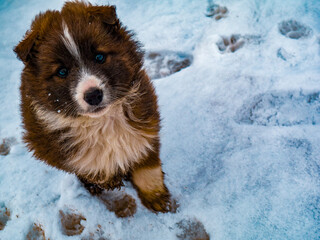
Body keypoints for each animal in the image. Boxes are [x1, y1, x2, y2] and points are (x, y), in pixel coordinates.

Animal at [14, 0, 172, 214]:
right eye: (62, 72)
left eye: (99, 57)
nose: (93, 95)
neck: (102, 121)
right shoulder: (50, 147)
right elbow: (89, 165)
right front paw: (107, 180)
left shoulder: (145, 125)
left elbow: (146, 166)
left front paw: (155, 196)